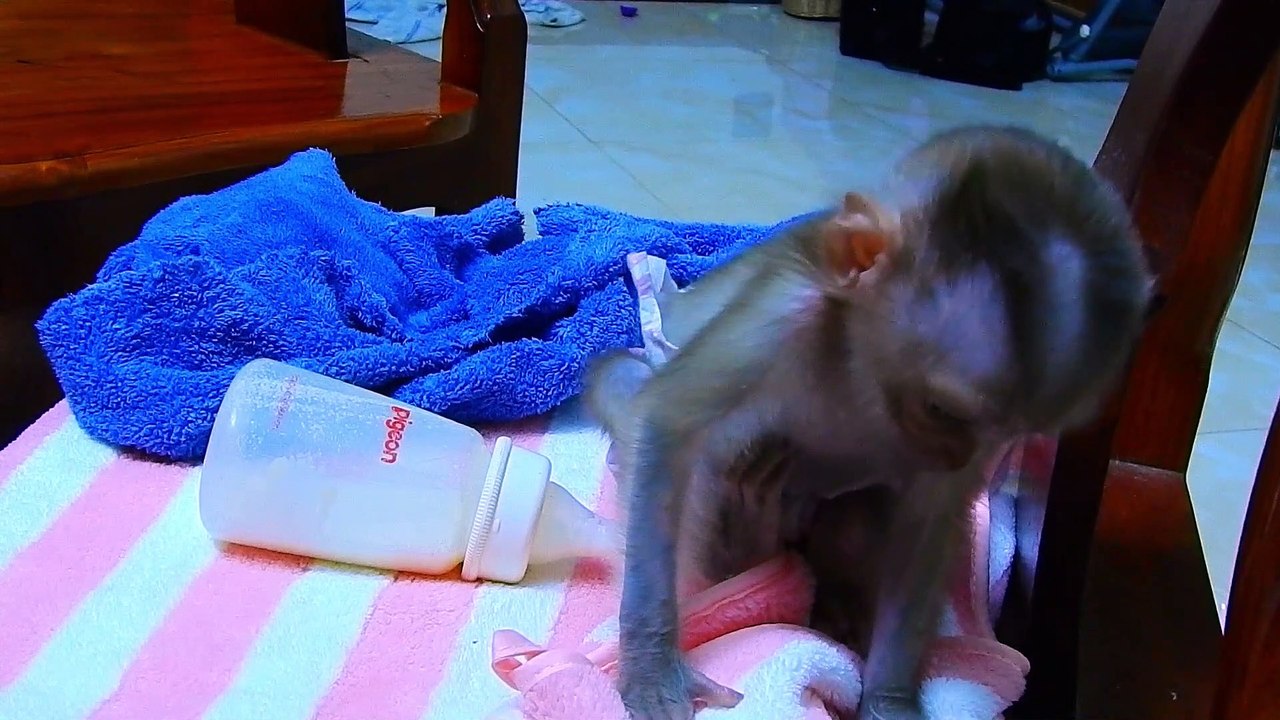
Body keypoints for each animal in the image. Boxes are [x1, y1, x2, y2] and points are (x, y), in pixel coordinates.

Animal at [583, 125, 1154, 720]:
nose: (959, 455)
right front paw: (651, 666)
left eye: (1006, 435)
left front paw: (890, 699)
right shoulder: (780, 315)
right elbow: (669, 427)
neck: (864, 367)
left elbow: (932, 516)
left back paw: (835, 604)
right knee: (631, 383)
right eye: (942, 409)